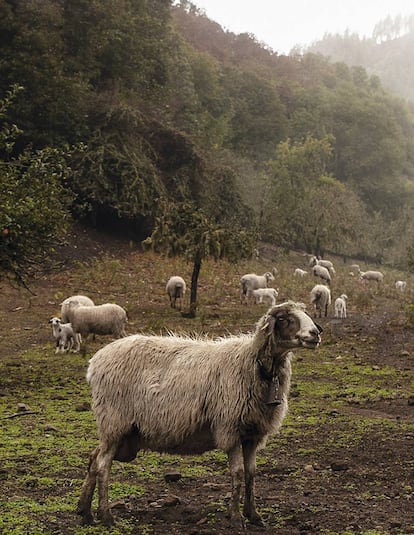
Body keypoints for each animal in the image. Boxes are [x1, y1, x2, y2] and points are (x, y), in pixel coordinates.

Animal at [77, 302, 324, 528]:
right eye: (283, 318)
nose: (315, 333)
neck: (254, 364)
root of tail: (96, 361)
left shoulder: (253, 434)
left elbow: (251, 474)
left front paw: (254, 515)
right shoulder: (230, 428)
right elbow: (237, 474)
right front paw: (236, 518)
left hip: (122, 434)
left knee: (93, 458)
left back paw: (85, 511)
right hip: (114, 421)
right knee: (102, 466)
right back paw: (106, 516)